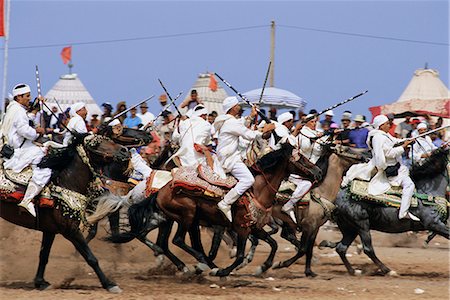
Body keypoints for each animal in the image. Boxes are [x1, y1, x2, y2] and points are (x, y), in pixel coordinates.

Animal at [0, 134, 130, 292]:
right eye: (98, 143)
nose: (124, 150)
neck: (66, 183)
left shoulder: (50, 230)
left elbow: (44, 255)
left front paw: (40, 282)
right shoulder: (70, 230)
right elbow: (91, 258)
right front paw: (109, 284)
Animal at [322, 146, 448, 276]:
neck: (427, 193)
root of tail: (337, 198)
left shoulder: (436, 224)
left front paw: (426, 240)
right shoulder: (433, 223)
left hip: (350, 228)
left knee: (341, 248)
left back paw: (353, 271)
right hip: (362, 225)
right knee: (367, 249)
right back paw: (388, 270)